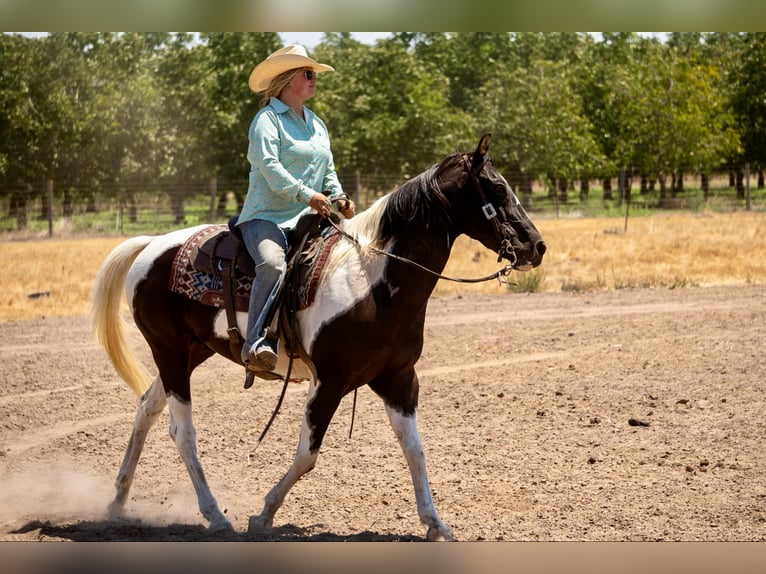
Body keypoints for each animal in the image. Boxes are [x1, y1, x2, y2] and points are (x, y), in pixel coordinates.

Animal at [91, 134, 546, 541]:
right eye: (497, 188)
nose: (536, 246)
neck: (373, 281)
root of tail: (152, 245)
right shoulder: (329, 382)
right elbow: (307, 454)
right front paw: (263, 515)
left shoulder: (399, 379)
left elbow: (415, 450)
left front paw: (436, 524)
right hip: (168, 349)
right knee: (182, 432)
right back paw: (215, 516)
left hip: (191, 351)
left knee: (147, 409)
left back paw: (117, 503)